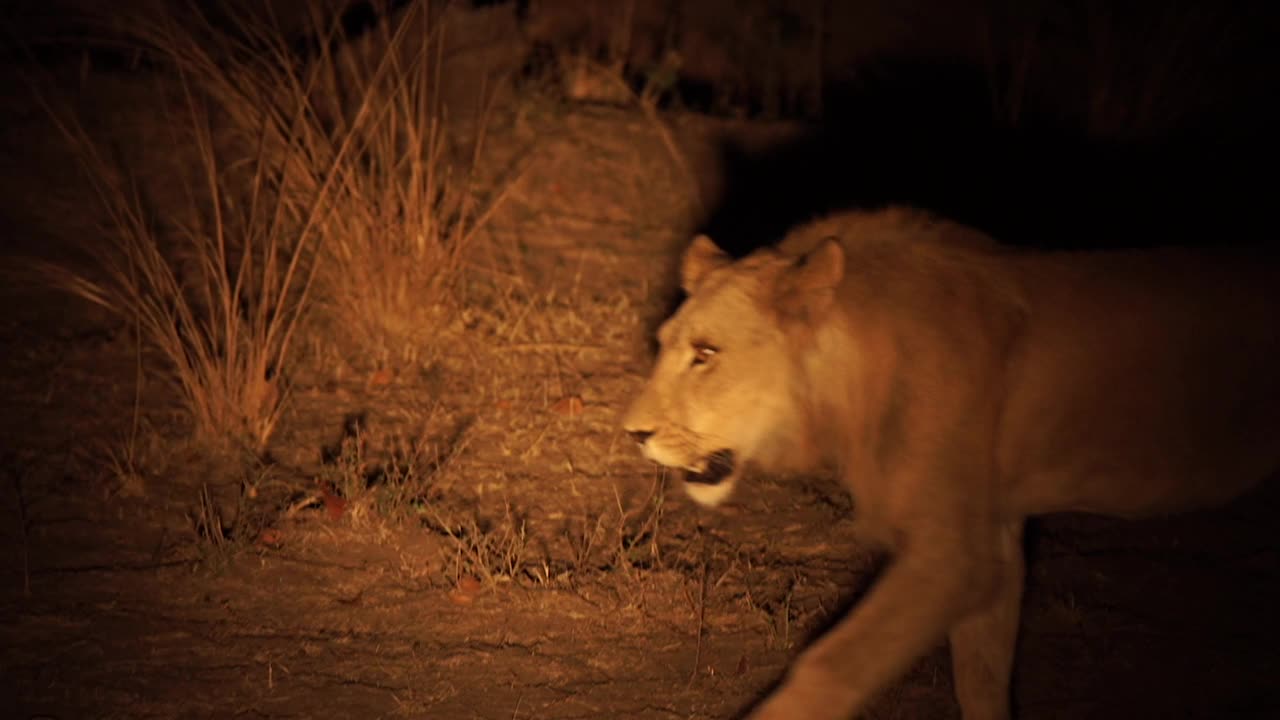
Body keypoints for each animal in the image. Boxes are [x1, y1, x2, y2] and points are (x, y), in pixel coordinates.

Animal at [619, 204, 1280, 712]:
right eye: (663, 345)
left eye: (706, 353)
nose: (633, 433)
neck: (855, 380)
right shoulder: (995, 540)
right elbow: (981, 681)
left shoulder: (954, 556)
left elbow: (828, 668)